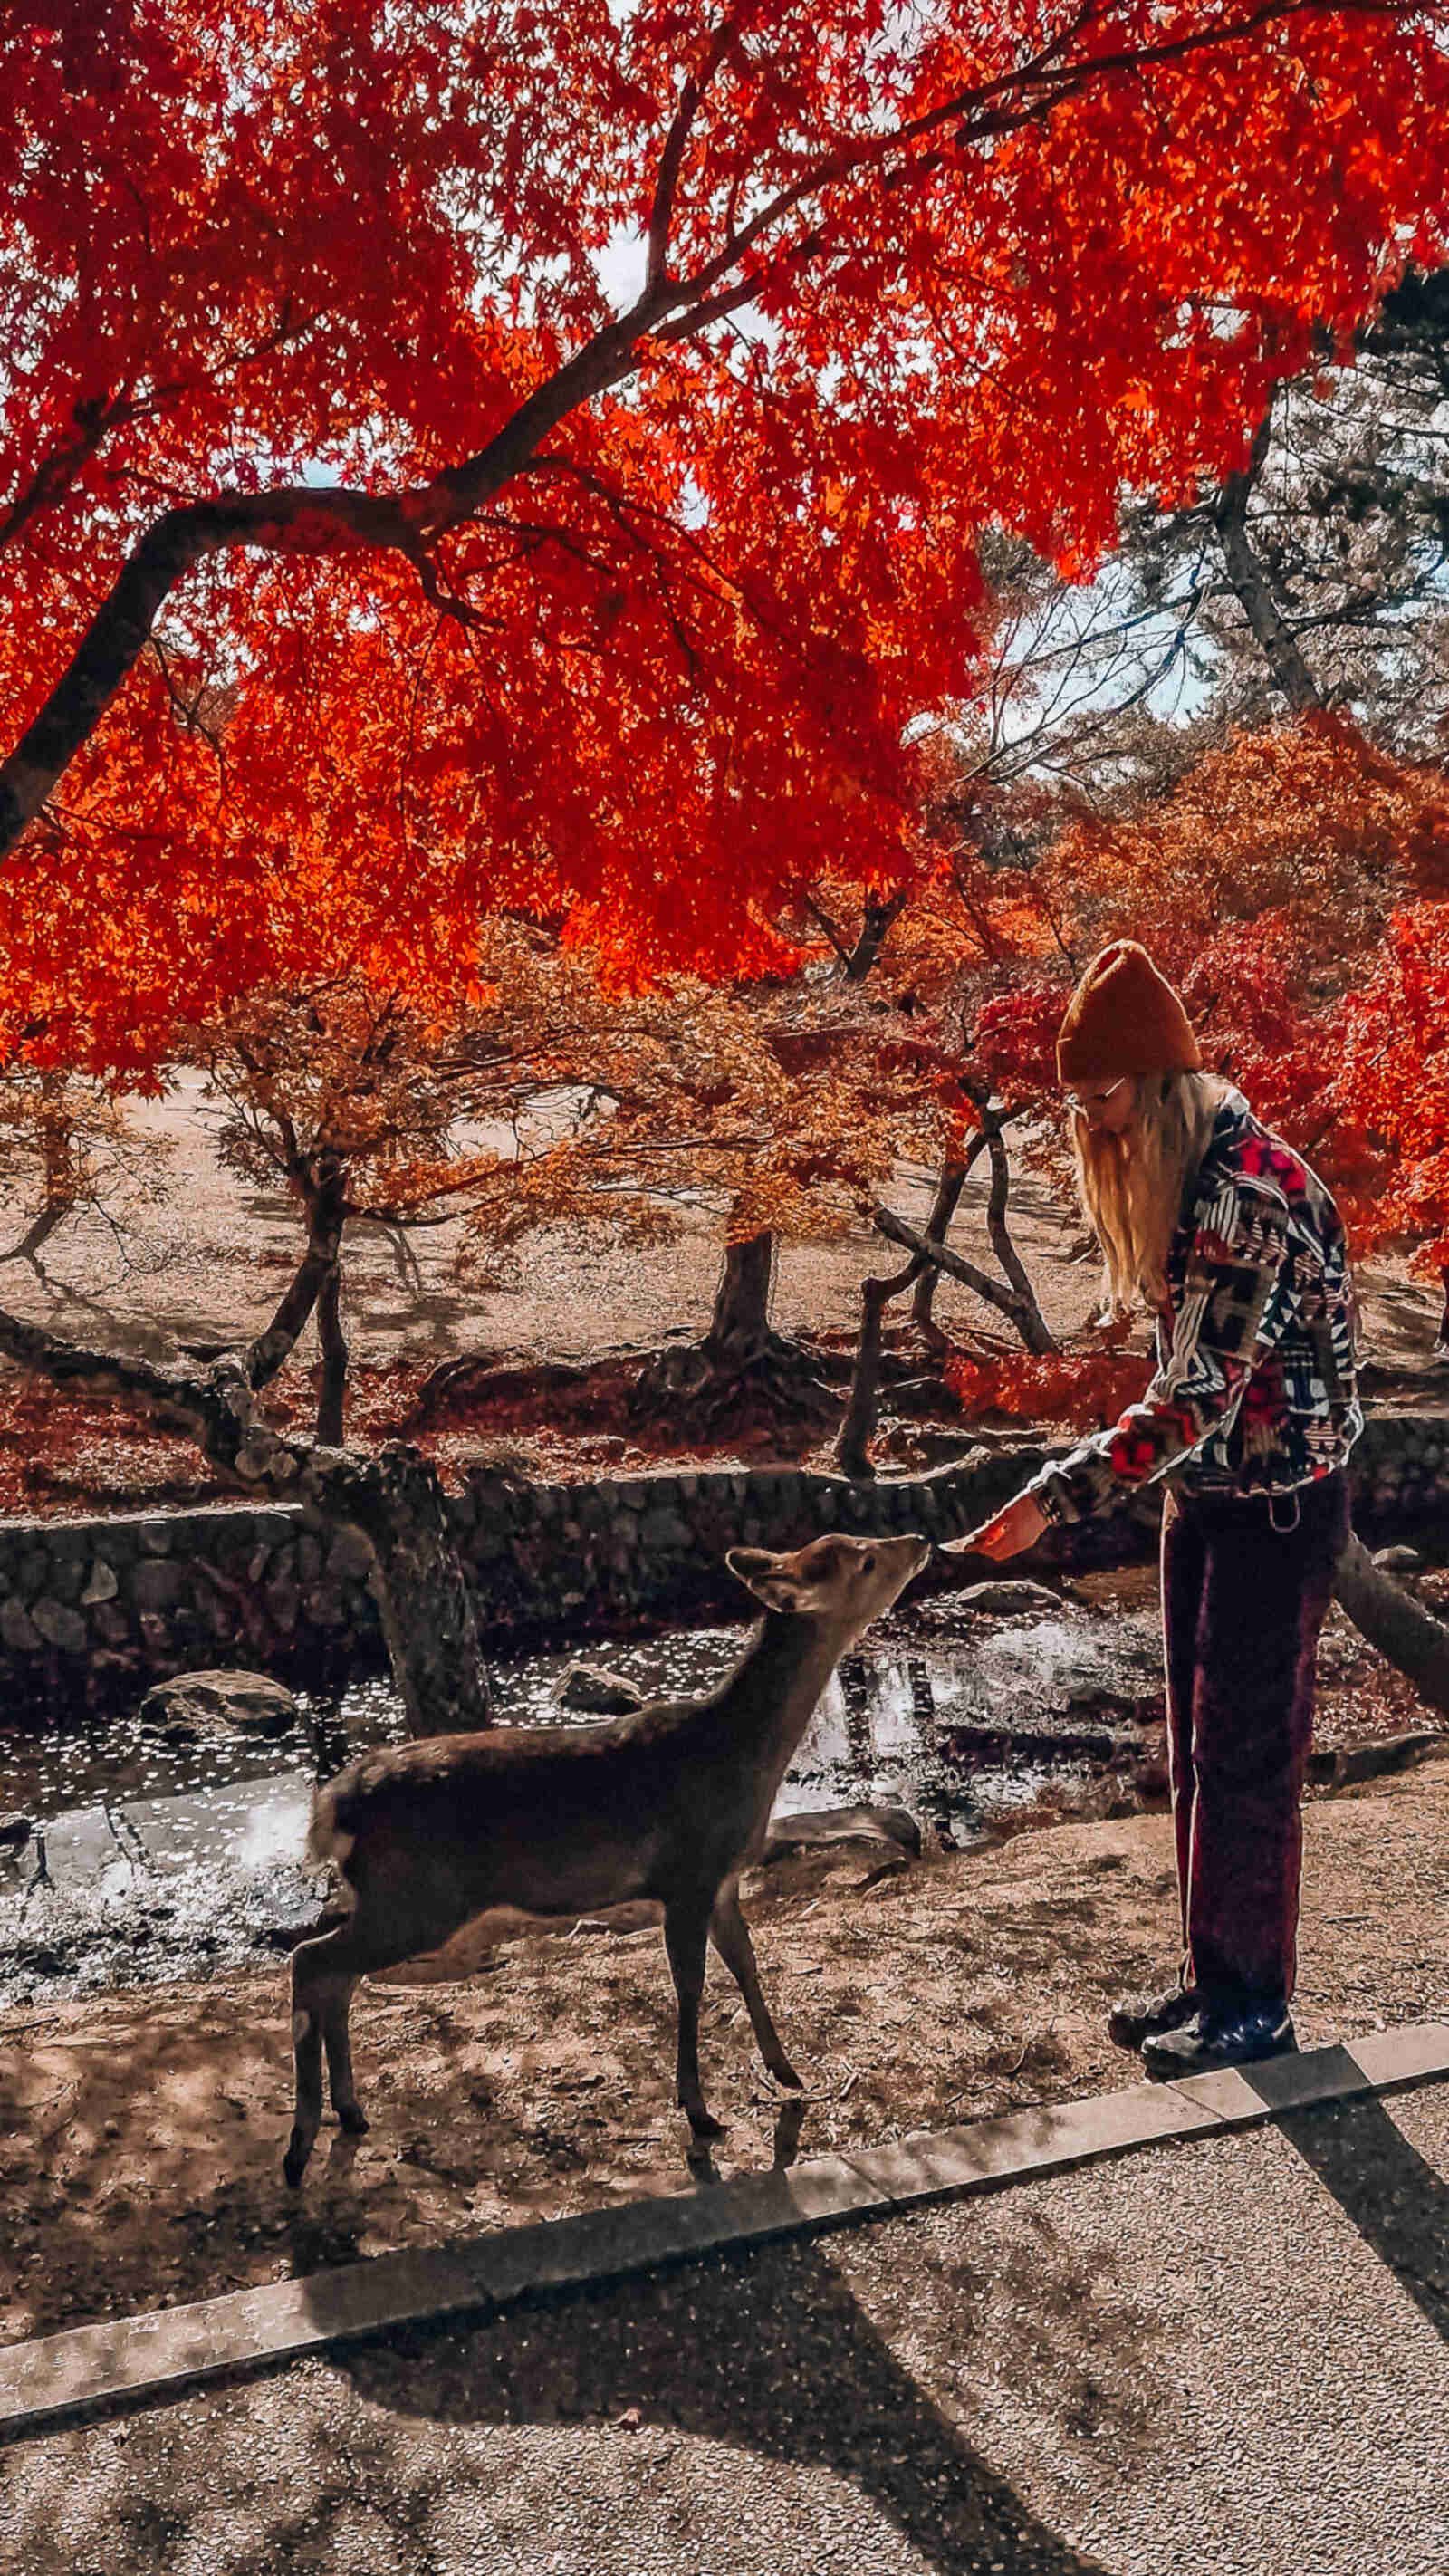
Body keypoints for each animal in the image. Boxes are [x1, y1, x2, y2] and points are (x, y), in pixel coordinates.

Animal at [286, 1535, 931, 2184]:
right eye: (864, 1561)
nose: (919, 1542)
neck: (740, 1759)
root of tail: (337, 1806)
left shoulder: (722, 1878)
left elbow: (746, 1964)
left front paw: (787, 2073)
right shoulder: (686, 1873)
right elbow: (690, 1984)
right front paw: (699, 2112)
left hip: (394, 1899)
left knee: (335, 1973)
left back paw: (350, 2112)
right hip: (420, 1896)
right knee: (310, 1959)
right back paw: (300, 2143)